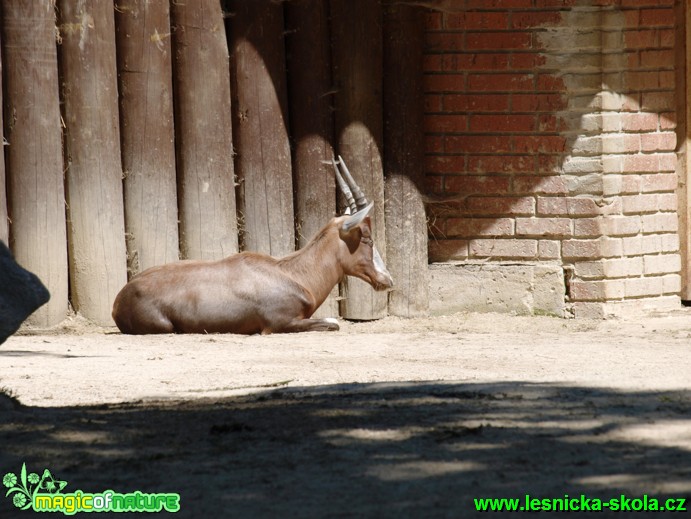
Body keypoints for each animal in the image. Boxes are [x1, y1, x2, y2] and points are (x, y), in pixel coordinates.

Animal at [113, 156, 394, 336]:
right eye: (367, 237)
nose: (387, 280)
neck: (290, 273)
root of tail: (119, 299)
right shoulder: (280, 324)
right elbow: (334, 321)